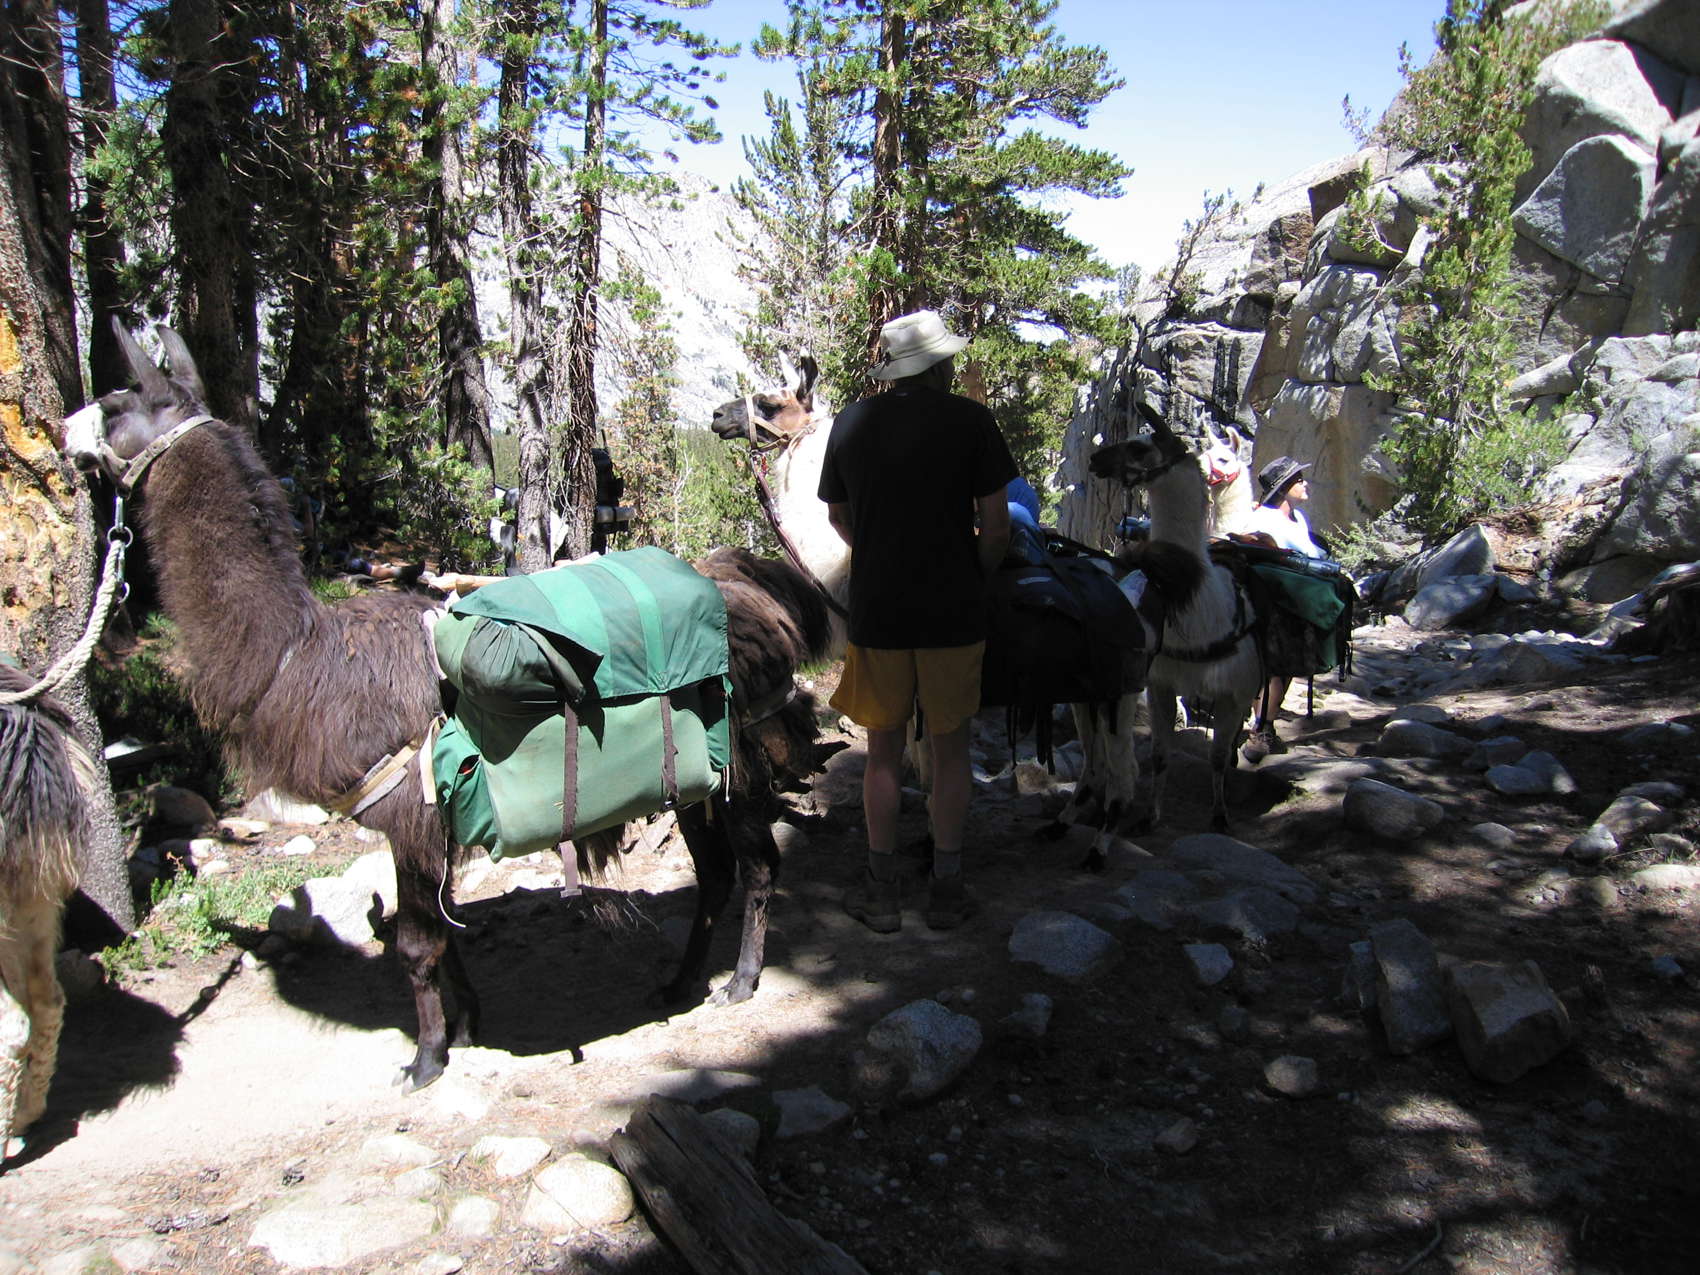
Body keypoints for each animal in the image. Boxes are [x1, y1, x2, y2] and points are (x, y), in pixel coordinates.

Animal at [65, 325, 830, 1091]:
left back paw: (741, 981)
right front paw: (465, 1026)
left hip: (736, 759)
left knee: (758, 864)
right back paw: (678, 983)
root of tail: (759, 588)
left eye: (115, 399)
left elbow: (414, 944)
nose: (65, 435)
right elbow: (443, 936)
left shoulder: (409, 813)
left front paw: (426, 1059)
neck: (300, 656)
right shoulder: (432, 820)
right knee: (716, 873)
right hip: (693, 781)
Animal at [709, 364, 1157, 867]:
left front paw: (929, 841)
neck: (840, 567)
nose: (717, 415)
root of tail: (1126, 586)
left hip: (1119, 691)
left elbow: (927, 767)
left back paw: (1099, 848)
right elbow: (916, 761)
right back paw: (1060, 826)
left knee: (1123, 767)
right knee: (1098, 763)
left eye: (769, 402)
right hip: (1088, 691)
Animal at [1089, 402, 1264, 832]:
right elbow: (1159, 756)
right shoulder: (1161, 682)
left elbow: (1215, 758)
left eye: (1139, 447)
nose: (1095, 459)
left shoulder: (1233, 689)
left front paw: (1219, 815)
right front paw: (1150, 816)